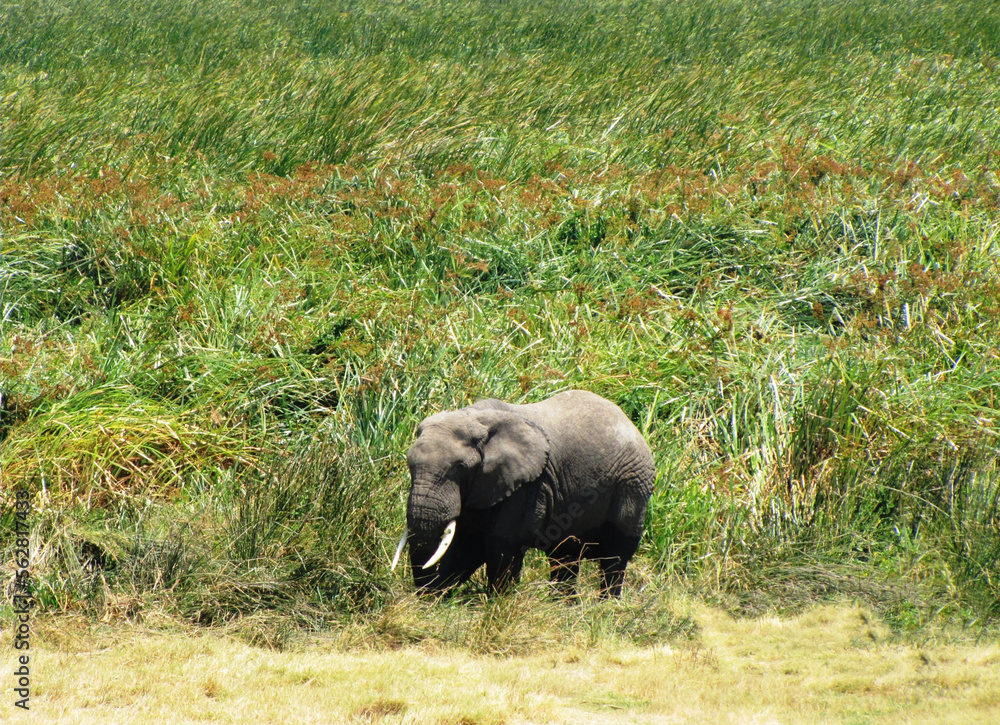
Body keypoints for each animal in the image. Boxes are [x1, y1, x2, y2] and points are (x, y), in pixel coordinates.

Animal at [390, 390, 655, 597]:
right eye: (409, 465)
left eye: (460, 468)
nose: (423, 597)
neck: (474, 417)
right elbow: (466, 544)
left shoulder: (529, 486)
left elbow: (499, 544)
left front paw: (499, 606)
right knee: (565, 556)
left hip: (633, 485)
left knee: (616, 555)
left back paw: (605, 607)